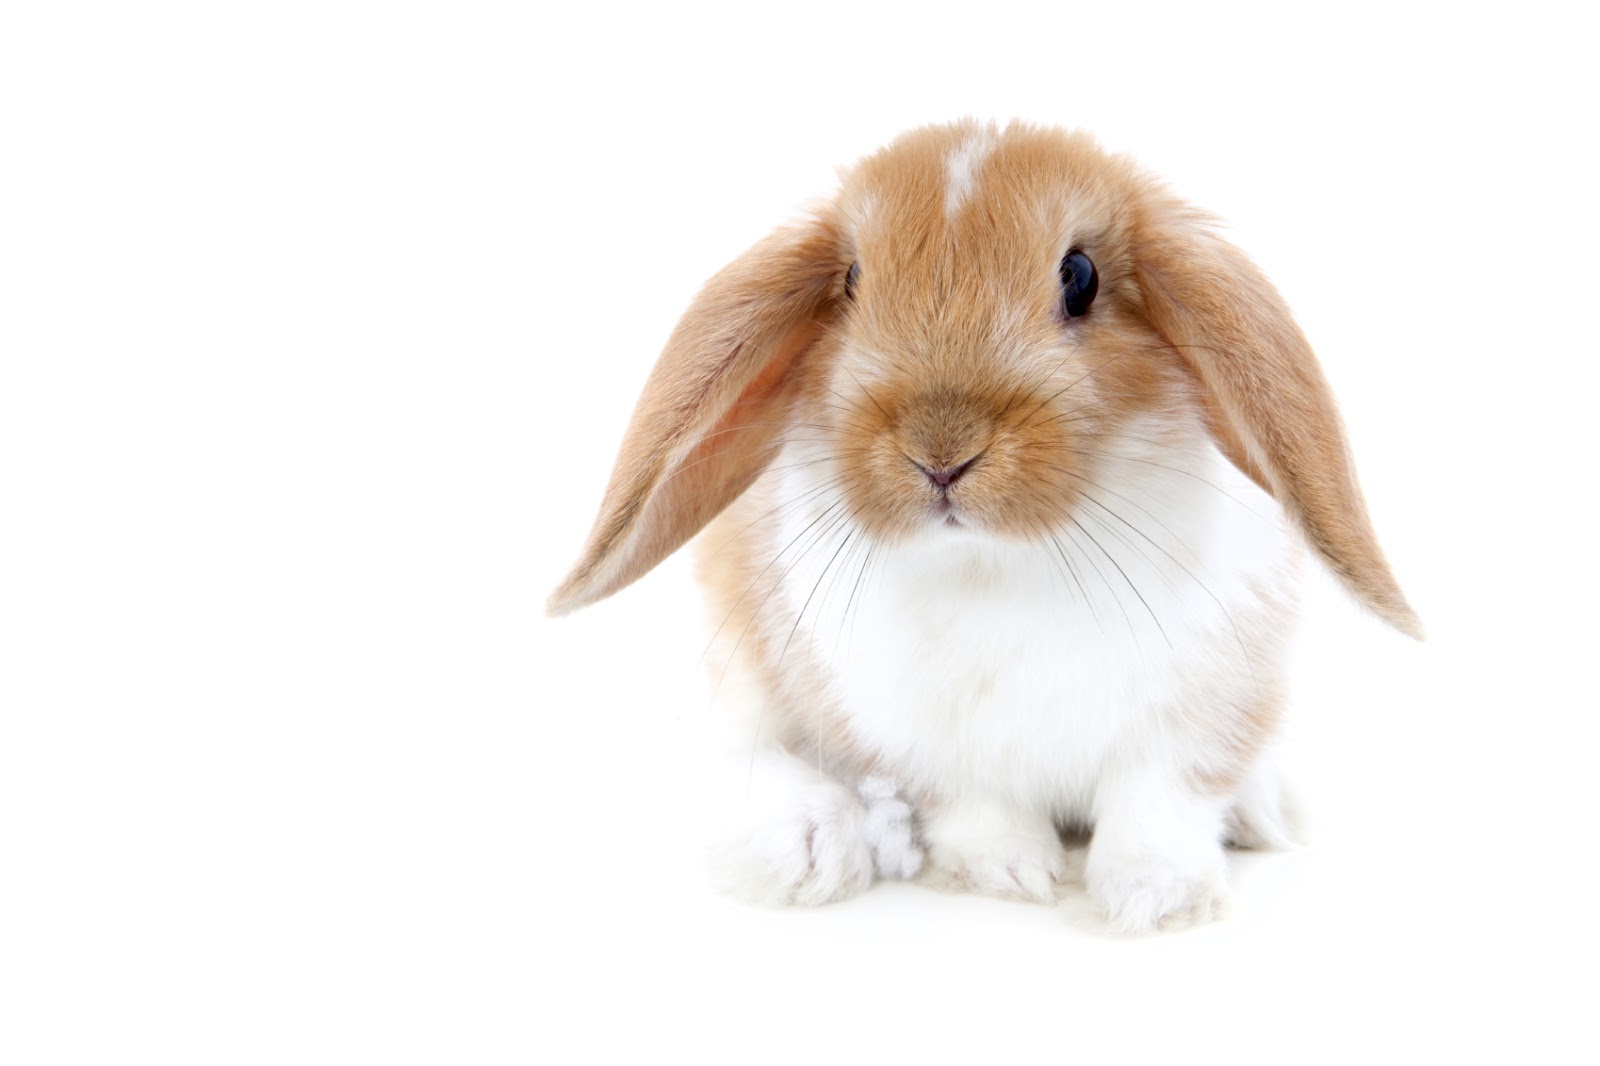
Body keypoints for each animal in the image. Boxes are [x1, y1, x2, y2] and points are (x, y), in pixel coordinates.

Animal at [548, 120, 1420, 931]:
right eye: (851, 282)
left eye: (1080, 277)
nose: (941, 453)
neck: (1000, 560)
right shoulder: (922, 745)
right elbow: (976, 810)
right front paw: (1014, 873)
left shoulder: (1200, 718)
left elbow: (1160, 804)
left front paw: (1154, 899)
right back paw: (807, 846)